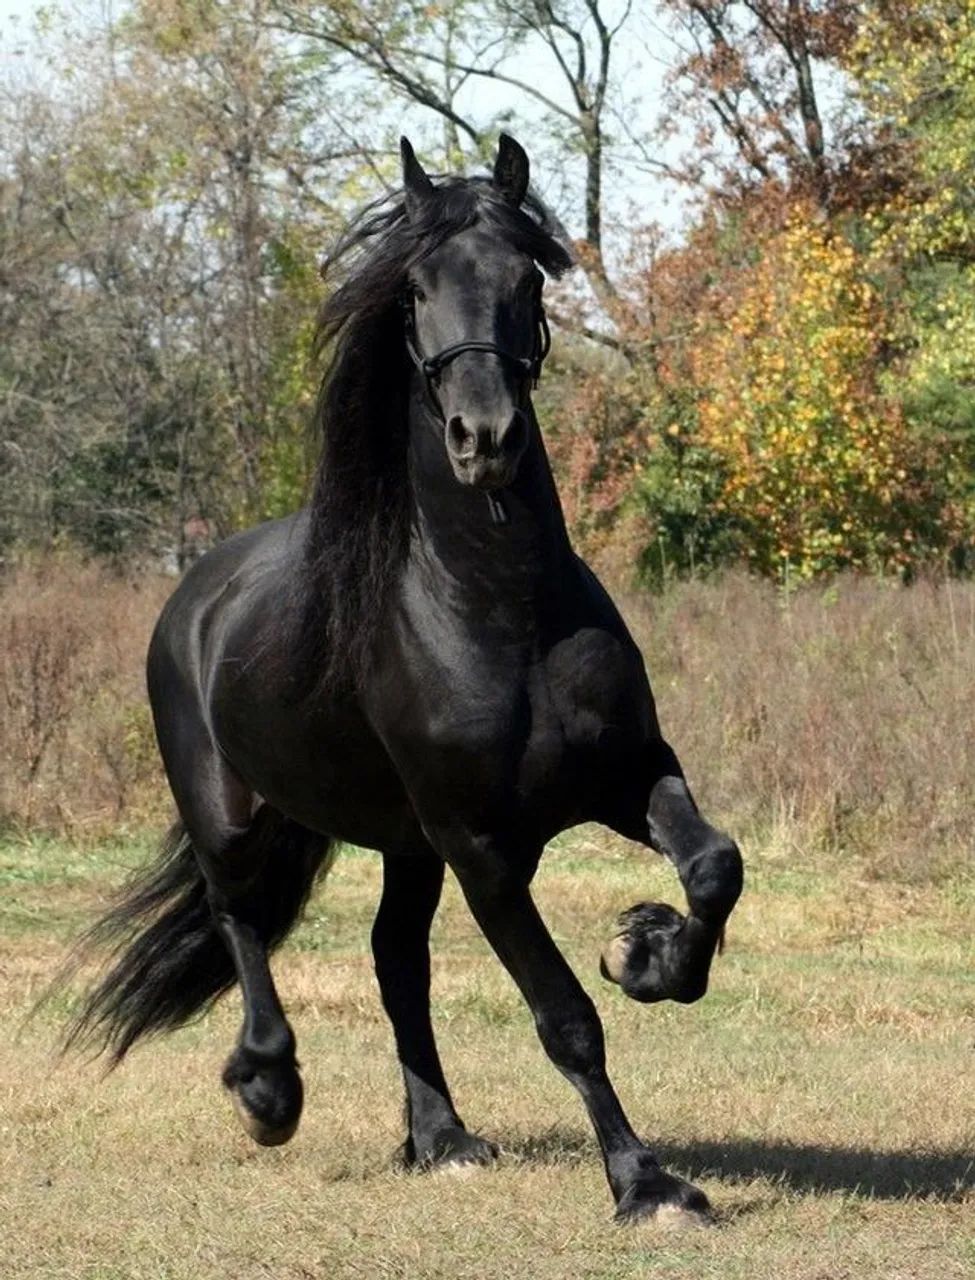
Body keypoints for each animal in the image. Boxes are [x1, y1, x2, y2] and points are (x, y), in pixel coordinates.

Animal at [67, 135, 743, 1226]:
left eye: (525, 278)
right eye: (414, 291)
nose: (484, 438)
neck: (501, 611)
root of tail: (196, 594)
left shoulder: (626, 775)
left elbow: (714, 866)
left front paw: (643, 949)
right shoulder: (483, 850)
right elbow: (566, 1017)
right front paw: (647, 1184)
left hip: (403, 843)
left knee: (393, 961)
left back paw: (442, 1137)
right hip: (237, 817)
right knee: (241, 917)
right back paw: (269, 1088)